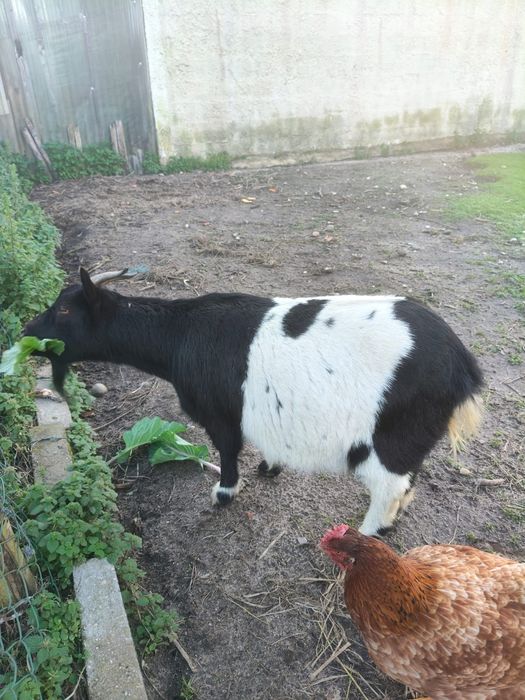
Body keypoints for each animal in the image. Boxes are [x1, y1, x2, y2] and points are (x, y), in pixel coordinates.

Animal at [24, 268, 483, 536]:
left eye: (63, 310)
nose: (27, 330)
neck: (180, 337)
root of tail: (462, 366)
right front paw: (270, 467)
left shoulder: (220, 414)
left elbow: (228, 451)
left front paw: (224, 493)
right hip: (414, 438)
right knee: (407, 483)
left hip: (394, 435)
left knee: (388, 487)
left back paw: (366, 535)